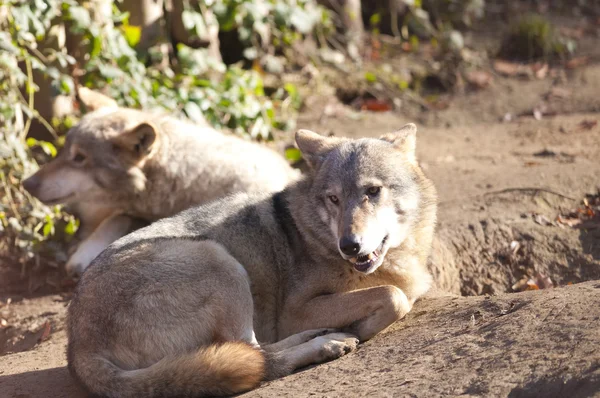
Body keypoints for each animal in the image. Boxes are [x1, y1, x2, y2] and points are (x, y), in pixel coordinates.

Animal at [68, 123, 438, 396]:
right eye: (333, 199)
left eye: (372, 191)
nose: (349, 245)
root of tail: (78, 346)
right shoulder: (295, 311)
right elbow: (395, 296)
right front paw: (361, 327)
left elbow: (398, 294)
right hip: (219, 260)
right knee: (259, 357)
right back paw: (326, 344)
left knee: (259, 350)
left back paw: (321, 336)